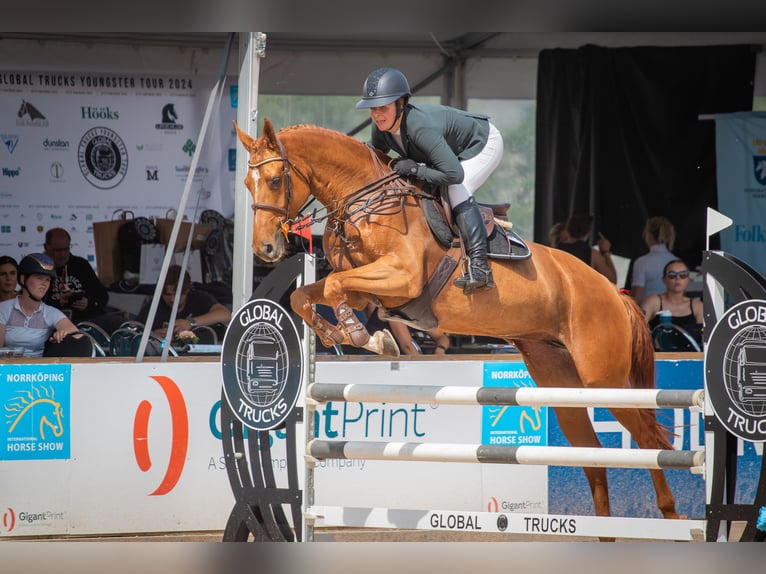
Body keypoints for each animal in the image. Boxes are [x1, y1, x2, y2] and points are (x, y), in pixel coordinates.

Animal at [237, 120, 688, 528]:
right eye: (247, 182)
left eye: (275, 180)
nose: (265, 249)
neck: (366, 202)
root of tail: (614, 293)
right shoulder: (367, 289)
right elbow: (308, 296)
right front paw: (357, 335)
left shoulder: (400, 278)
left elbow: (332, 286)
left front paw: (366, 336)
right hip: (562, 386)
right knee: (592, 457)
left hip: (603, 379)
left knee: (648, 440)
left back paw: (671, 516)